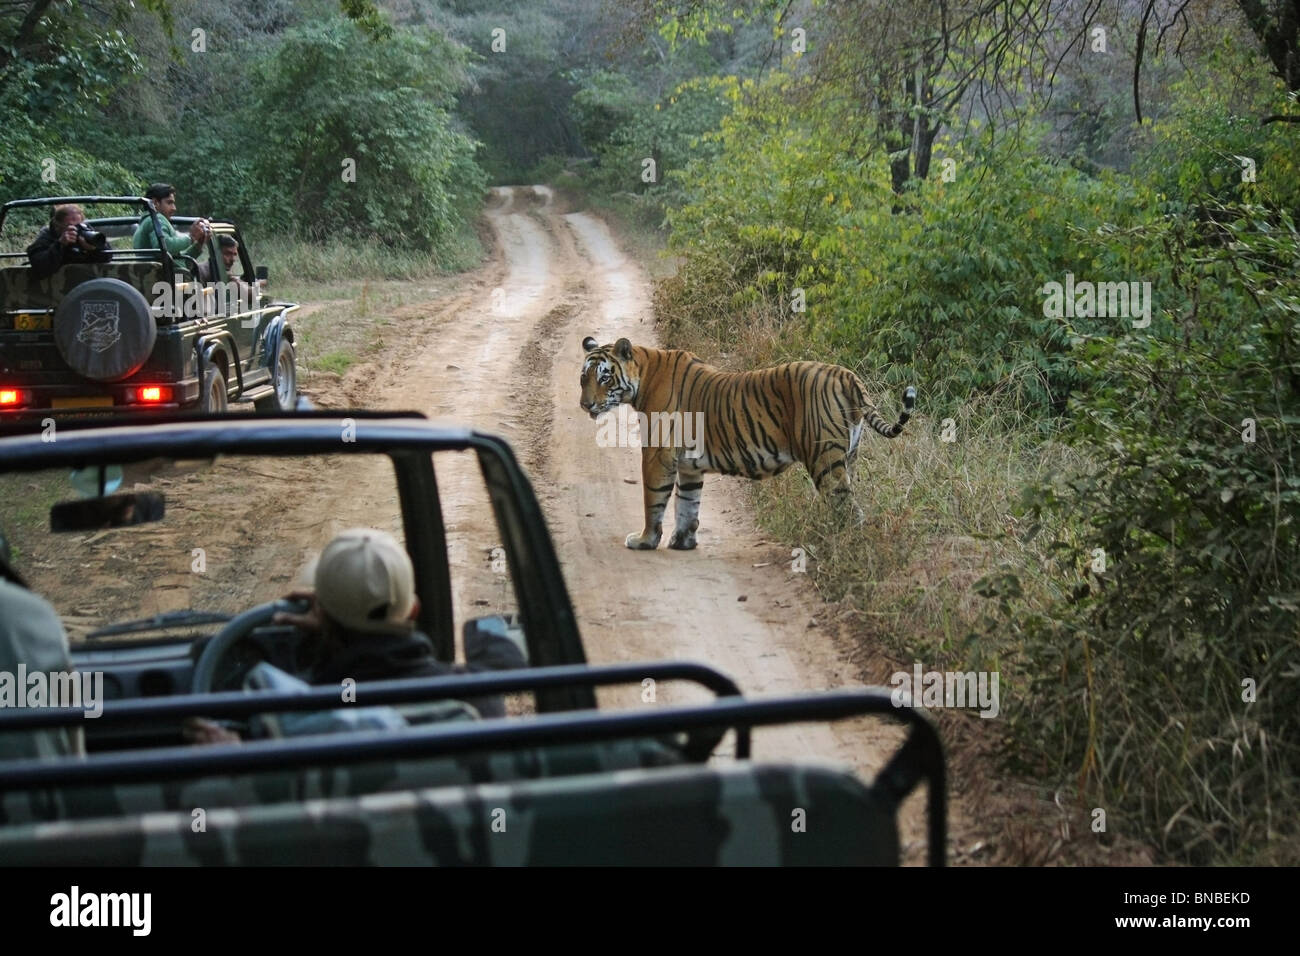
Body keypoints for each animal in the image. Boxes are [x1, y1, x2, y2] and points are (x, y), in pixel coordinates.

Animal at [579, 335, 915, 548]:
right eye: (584, 377)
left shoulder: (657, 456)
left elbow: (654, 500)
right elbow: (688, 503)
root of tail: (846, 374)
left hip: (825, 459)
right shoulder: (688, 465)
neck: (644, 375)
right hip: (849, 457)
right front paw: (682, 542)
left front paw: (645, 540)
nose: (585, 405)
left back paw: (839, 545)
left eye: (605, 377)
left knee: (848, 509)